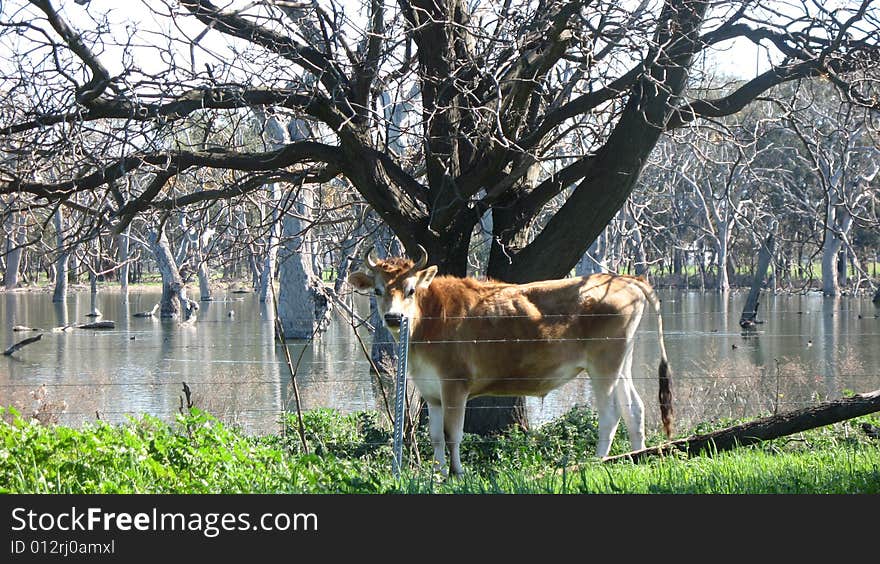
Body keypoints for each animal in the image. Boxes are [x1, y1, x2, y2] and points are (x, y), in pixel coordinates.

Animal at [348, 245, 672, 474]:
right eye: (377, 290)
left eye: (411, 289)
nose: (393, 317)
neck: (427, 321)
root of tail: (621, 277)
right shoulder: (431, 391)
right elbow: (436, 435)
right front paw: (438, 474)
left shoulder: (455, 384)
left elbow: (454, 433)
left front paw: (456, 473)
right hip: (621, 363)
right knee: (634, 408)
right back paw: (635, 457)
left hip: (603, 364)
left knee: (610, 413)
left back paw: (598, 461)